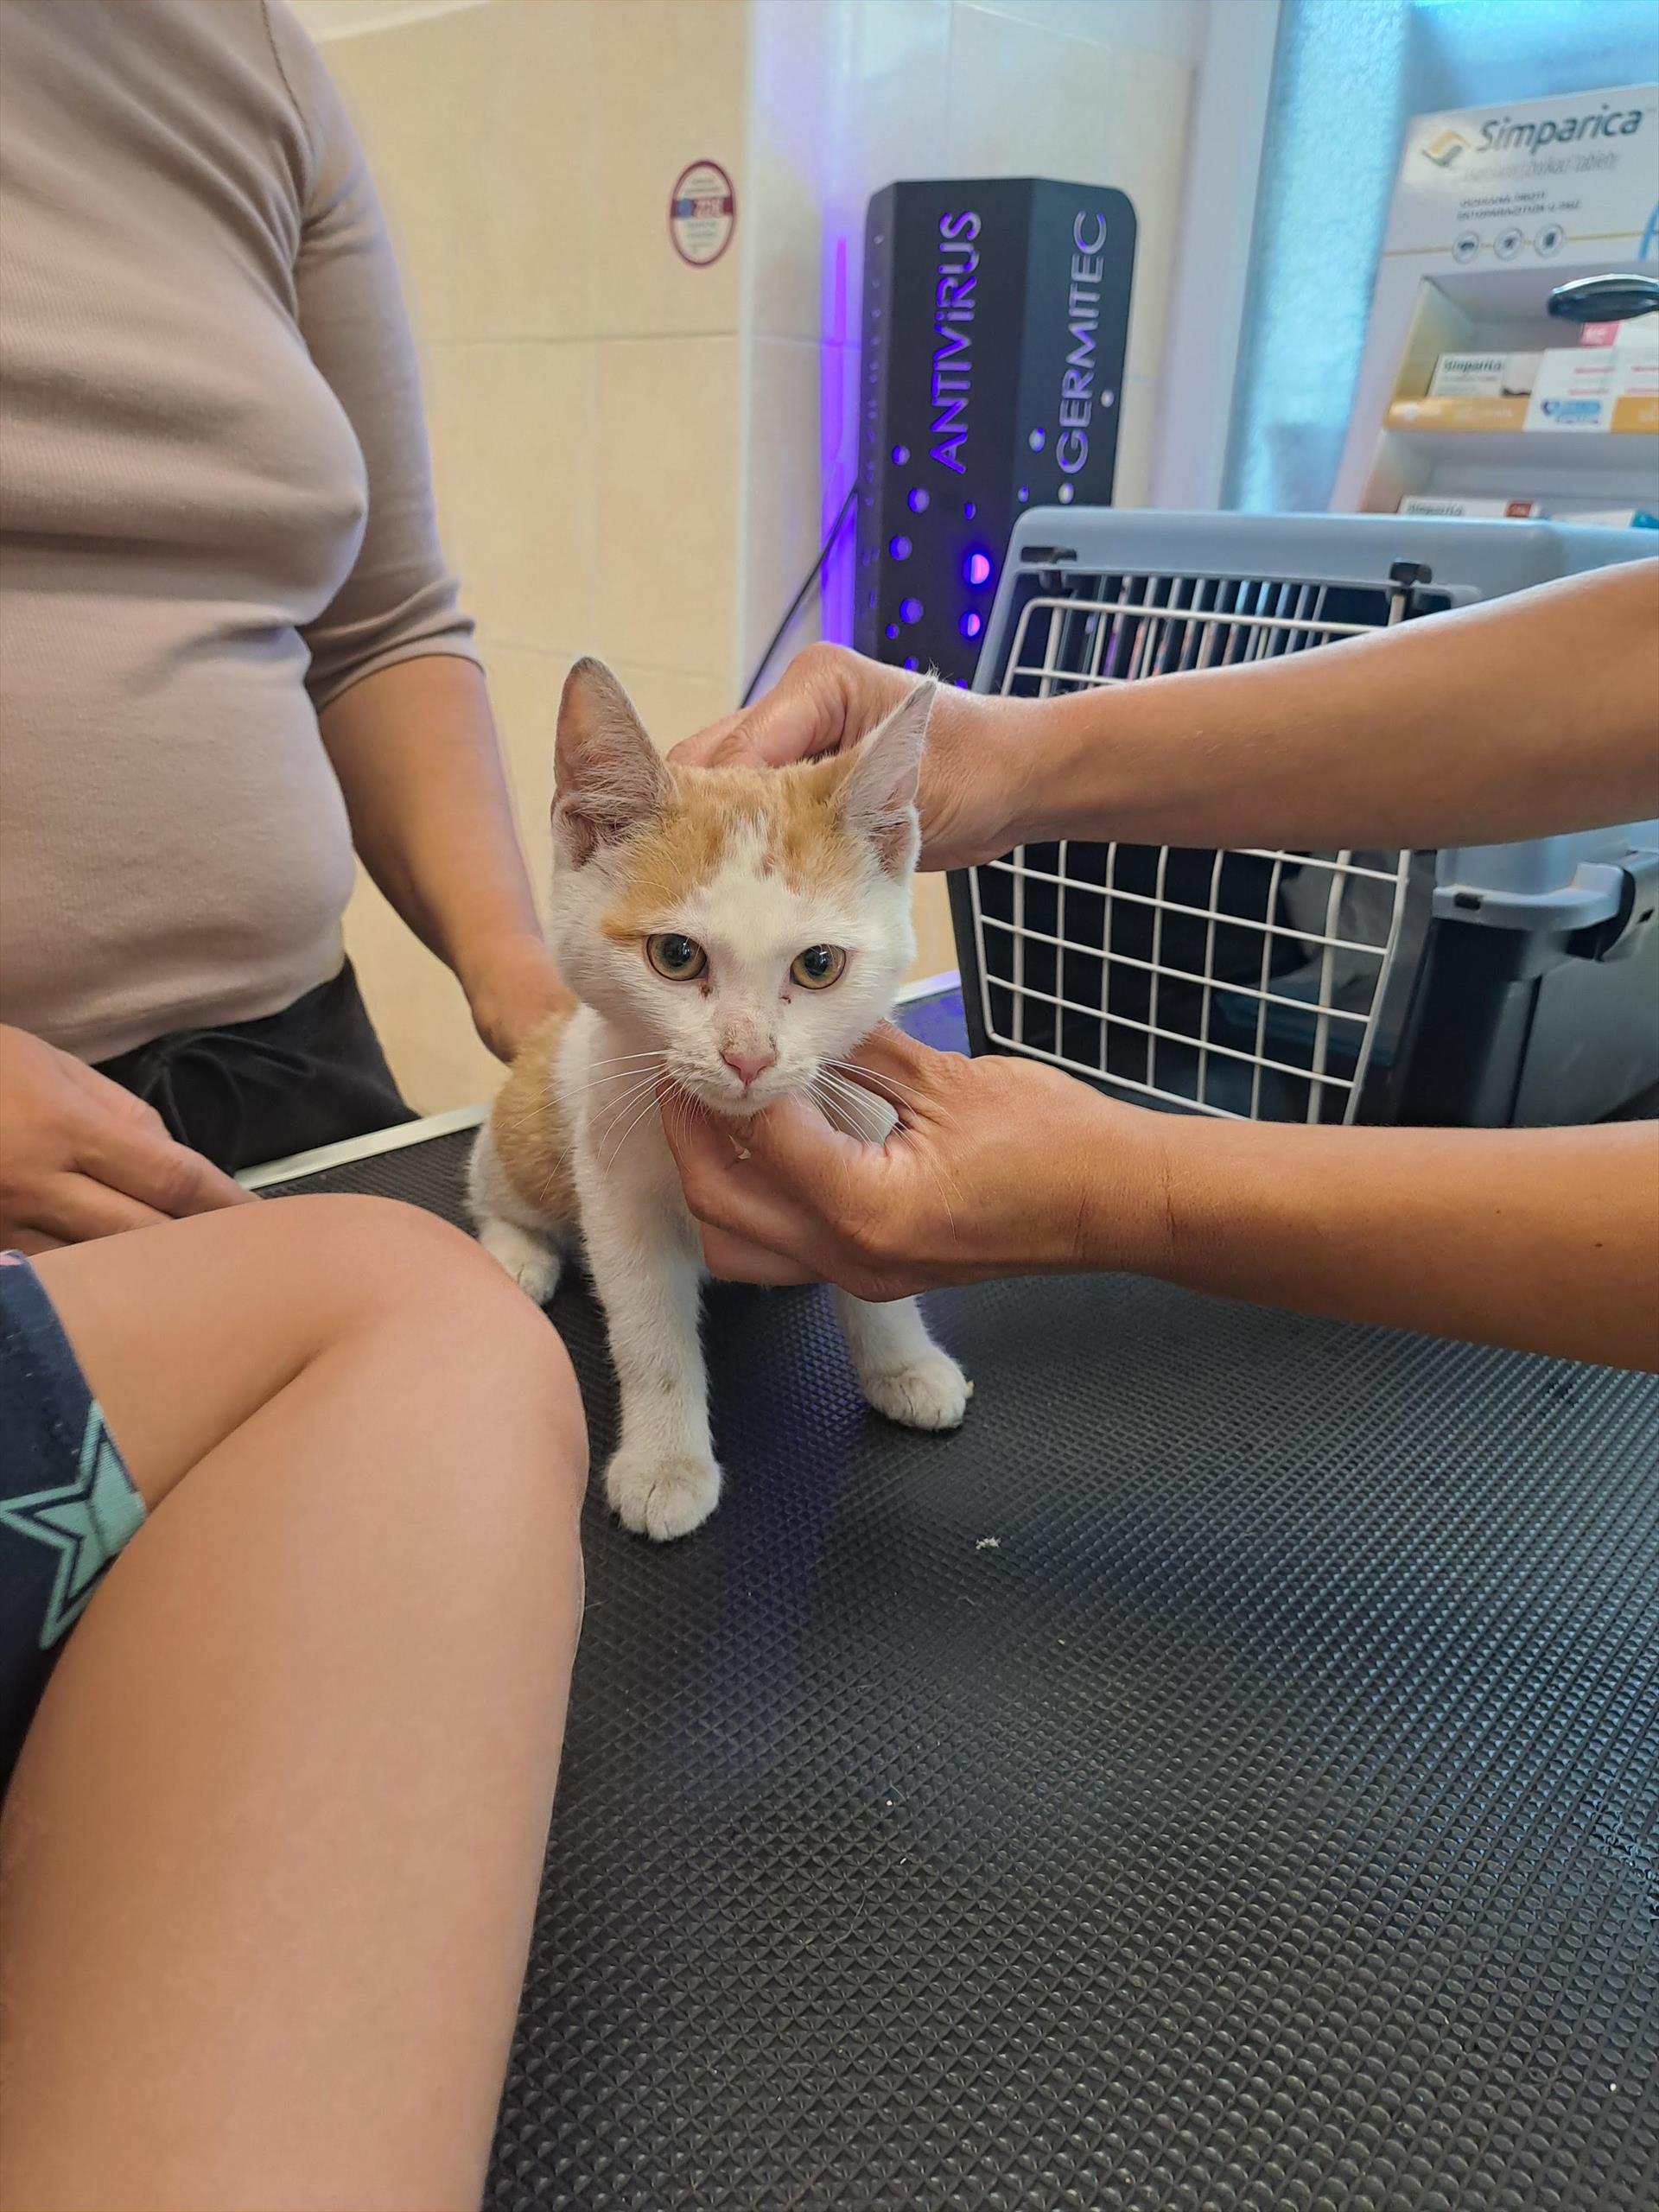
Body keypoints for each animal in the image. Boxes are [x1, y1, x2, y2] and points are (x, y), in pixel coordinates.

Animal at [468, 657, 972, 1542]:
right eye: (676, 955)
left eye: (818, 965)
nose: (748, 1056)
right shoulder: (616, 1188)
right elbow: (648, 1332)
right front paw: (666, 1462)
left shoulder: (857, 1117)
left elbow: (876, 1280)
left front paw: (904, 1363)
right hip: (530, 1123)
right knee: (491, 1181)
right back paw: (519, 1251)